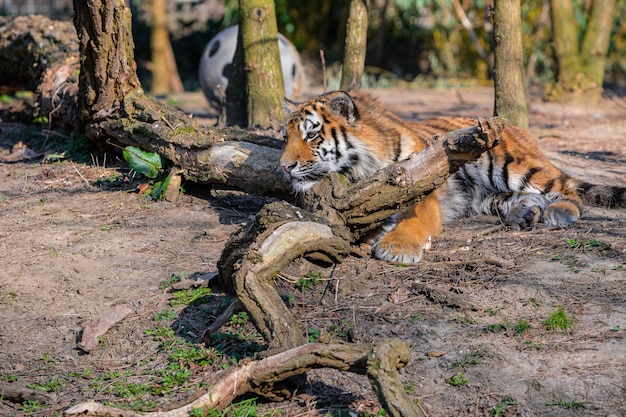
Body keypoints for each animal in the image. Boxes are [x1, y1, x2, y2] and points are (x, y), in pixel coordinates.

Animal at [278, 91, 624, 264]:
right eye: (285, 137)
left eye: (311, 135)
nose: (284, 167)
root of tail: (517, 128)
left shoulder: (418, 192)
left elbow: (412, 222)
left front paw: (397, 247)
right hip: (482, 193)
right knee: (519, 198)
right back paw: (524, 213)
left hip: (509, 165)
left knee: (566, 187)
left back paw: (559, 212)